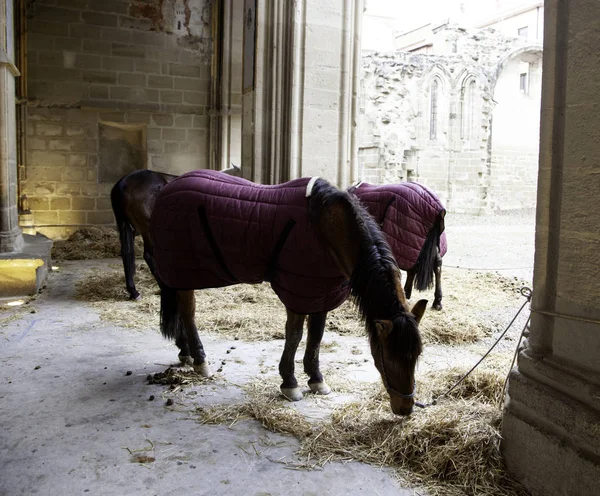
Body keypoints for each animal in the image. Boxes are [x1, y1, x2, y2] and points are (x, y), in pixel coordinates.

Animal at [152, 170, 428, 414]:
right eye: (389, 357)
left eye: (416, 356)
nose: (405, 409)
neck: (323, 228)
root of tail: (168, 186)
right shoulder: (299, 292)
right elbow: (295, 336)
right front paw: (290, 383)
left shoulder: (321, 294)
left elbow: (316, 336)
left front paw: (316, 379)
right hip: (185, 271)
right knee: (188, 313)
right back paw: (200, 361)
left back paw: (186, 353)